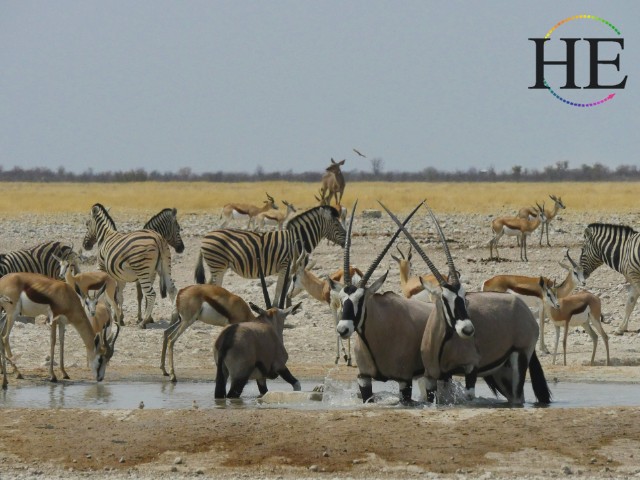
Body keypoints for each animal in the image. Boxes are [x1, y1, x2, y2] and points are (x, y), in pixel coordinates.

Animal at [84, 202, 178, 330]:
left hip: (142, 269)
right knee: (172, 289)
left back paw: (143, 322)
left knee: (151, 294)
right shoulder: (119, 276)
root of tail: (158, 238)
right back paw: (173, 320)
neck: (106, 236)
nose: (85, 245)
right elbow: (119, 296)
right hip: (165, 266)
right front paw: (119, 318)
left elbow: (106, 294)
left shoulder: (102, 268)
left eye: (87, 224)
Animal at [195, 204, 344, 302]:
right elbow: (279, 290)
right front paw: (277, 307)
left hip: (219, 266)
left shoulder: (291, 269)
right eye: (337, 225)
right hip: (218, 265)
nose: (346, 240)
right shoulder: (285, 266)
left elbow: (286, 289)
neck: (297, 239)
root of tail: (206, 236)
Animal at [380, 201, 552, 404]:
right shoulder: (436, 376)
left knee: (518, 396)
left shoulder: (471, 369)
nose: (468, 330)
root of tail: (521, 306)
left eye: (464, 296)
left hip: (521, 356)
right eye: (444, 298)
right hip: (500, 371)